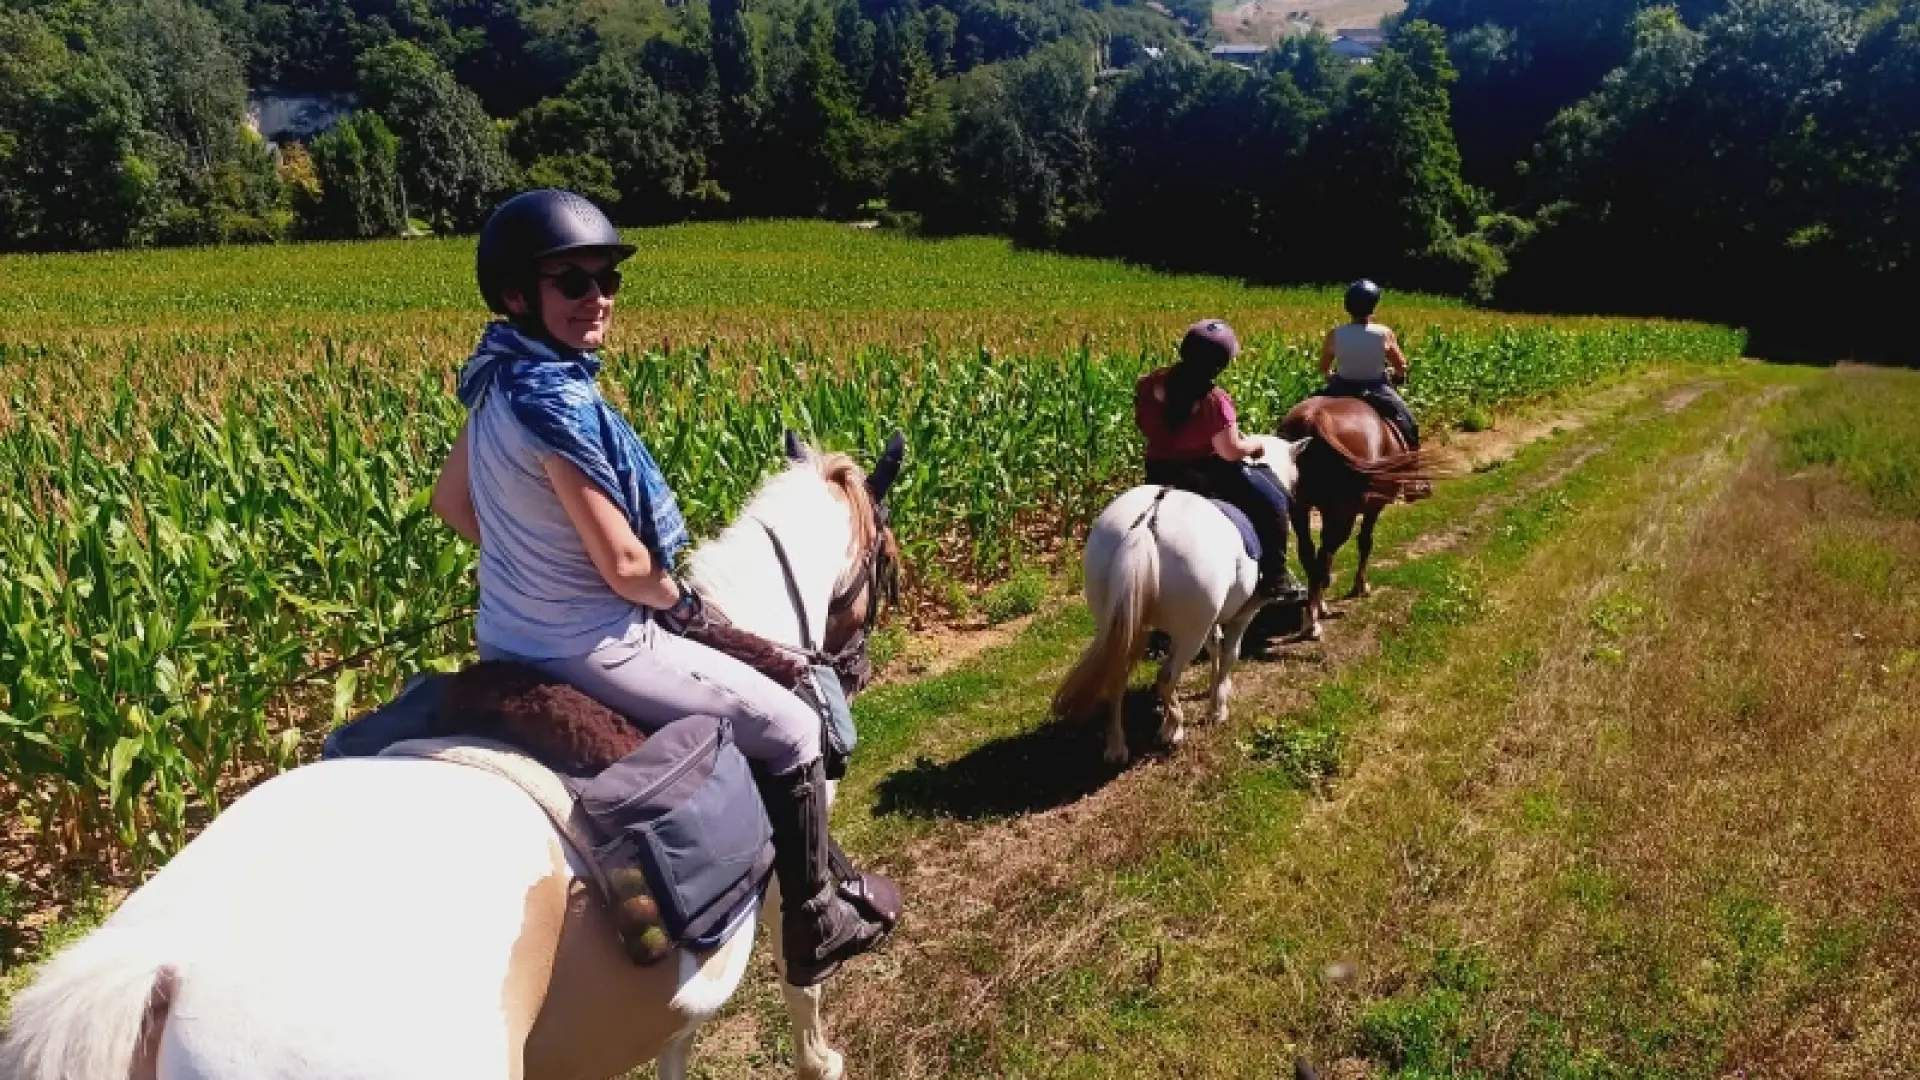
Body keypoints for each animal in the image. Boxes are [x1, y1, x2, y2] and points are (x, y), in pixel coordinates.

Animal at [0, 433, 905, 1080]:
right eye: (888, 559)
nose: (853, 670)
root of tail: (155, 973)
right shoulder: (785, 853)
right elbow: (800, 969)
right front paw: (820, 1055)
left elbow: (675, 1036)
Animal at [1051, 435, 1307, 766]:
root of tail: (1147, 522)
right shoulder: (1243, 613)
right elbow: (1229, 653)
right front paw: (1217, 709)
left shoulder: (1210, 618)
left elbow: (1215, 647)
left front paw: (1216, 692)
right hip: (1188, 631)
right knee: (1166, 675)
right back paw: (1173, 728)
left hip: (1123, 621)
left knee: (1117, 675)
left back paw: (1117, 746)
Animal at [1279, 395, 1439, 641]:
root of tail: (1314, 419)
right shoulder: (1374, 505)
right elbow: (1365, 542)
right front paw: (1360, 586)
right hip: (1342, 512)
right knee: (1325, 554)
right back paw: (1312, 622)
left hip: (1300, 509)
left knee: (1311, 554)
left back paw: (1317, 609)